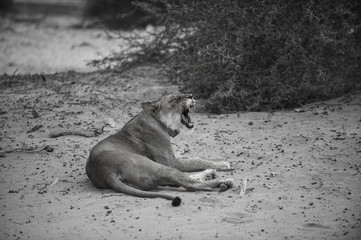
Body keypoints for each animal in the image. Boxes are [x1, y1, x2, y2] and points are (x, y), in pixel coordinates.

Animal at [87, 93, 233, 205]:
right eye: (174, 99)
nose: (191, 96)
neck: (159, 122)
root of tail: (106, 172)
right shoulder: (170, 161)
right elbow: (196, 161)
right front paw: (223, 164)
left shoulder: (172, 157)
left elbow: (193, 157)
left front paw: (217, 163)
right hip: (157, 166)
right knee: (188, 183)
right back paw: (223, 182)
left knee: (177, 181)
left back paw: (209, 174)